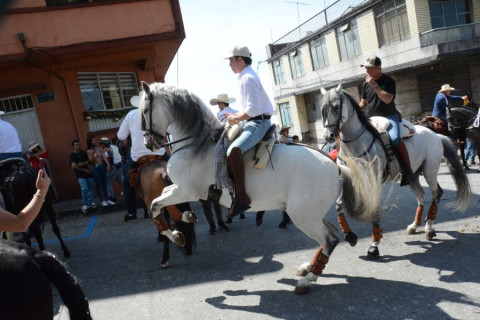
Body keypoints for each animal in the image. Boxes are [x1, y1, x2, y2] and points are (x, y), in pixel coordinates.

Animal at [139, 81, 382, 294]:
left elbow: (156, 204)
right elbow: (157, 203)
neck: (196, 145)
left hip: (303, 216)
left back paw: (308, 279)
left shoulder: (187, 190)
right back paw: (308, 270)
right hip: (311, 214)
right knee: (330, 235)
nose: (148, 143)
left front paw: (176, 231)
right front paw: (182, 225)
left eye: (145, 110)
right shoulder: (179, 189)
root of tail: (336, 166)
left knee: (330, 239)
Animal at [320, 84, 470, 258]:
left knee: (436, 193)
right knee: (421, 196)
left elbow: (375, 211)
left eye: (336, 107)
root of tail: (436, 135)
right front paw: (350, 236)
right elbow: (338, 205)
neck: (357, 145)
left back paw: (429, 228)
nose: (329, 136)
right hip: (413, 176)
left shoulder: (375, 183)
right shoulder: (351, 181)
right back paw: (414, 225)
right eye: (323, 109)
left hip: (430, 172)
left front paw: (374, 245)